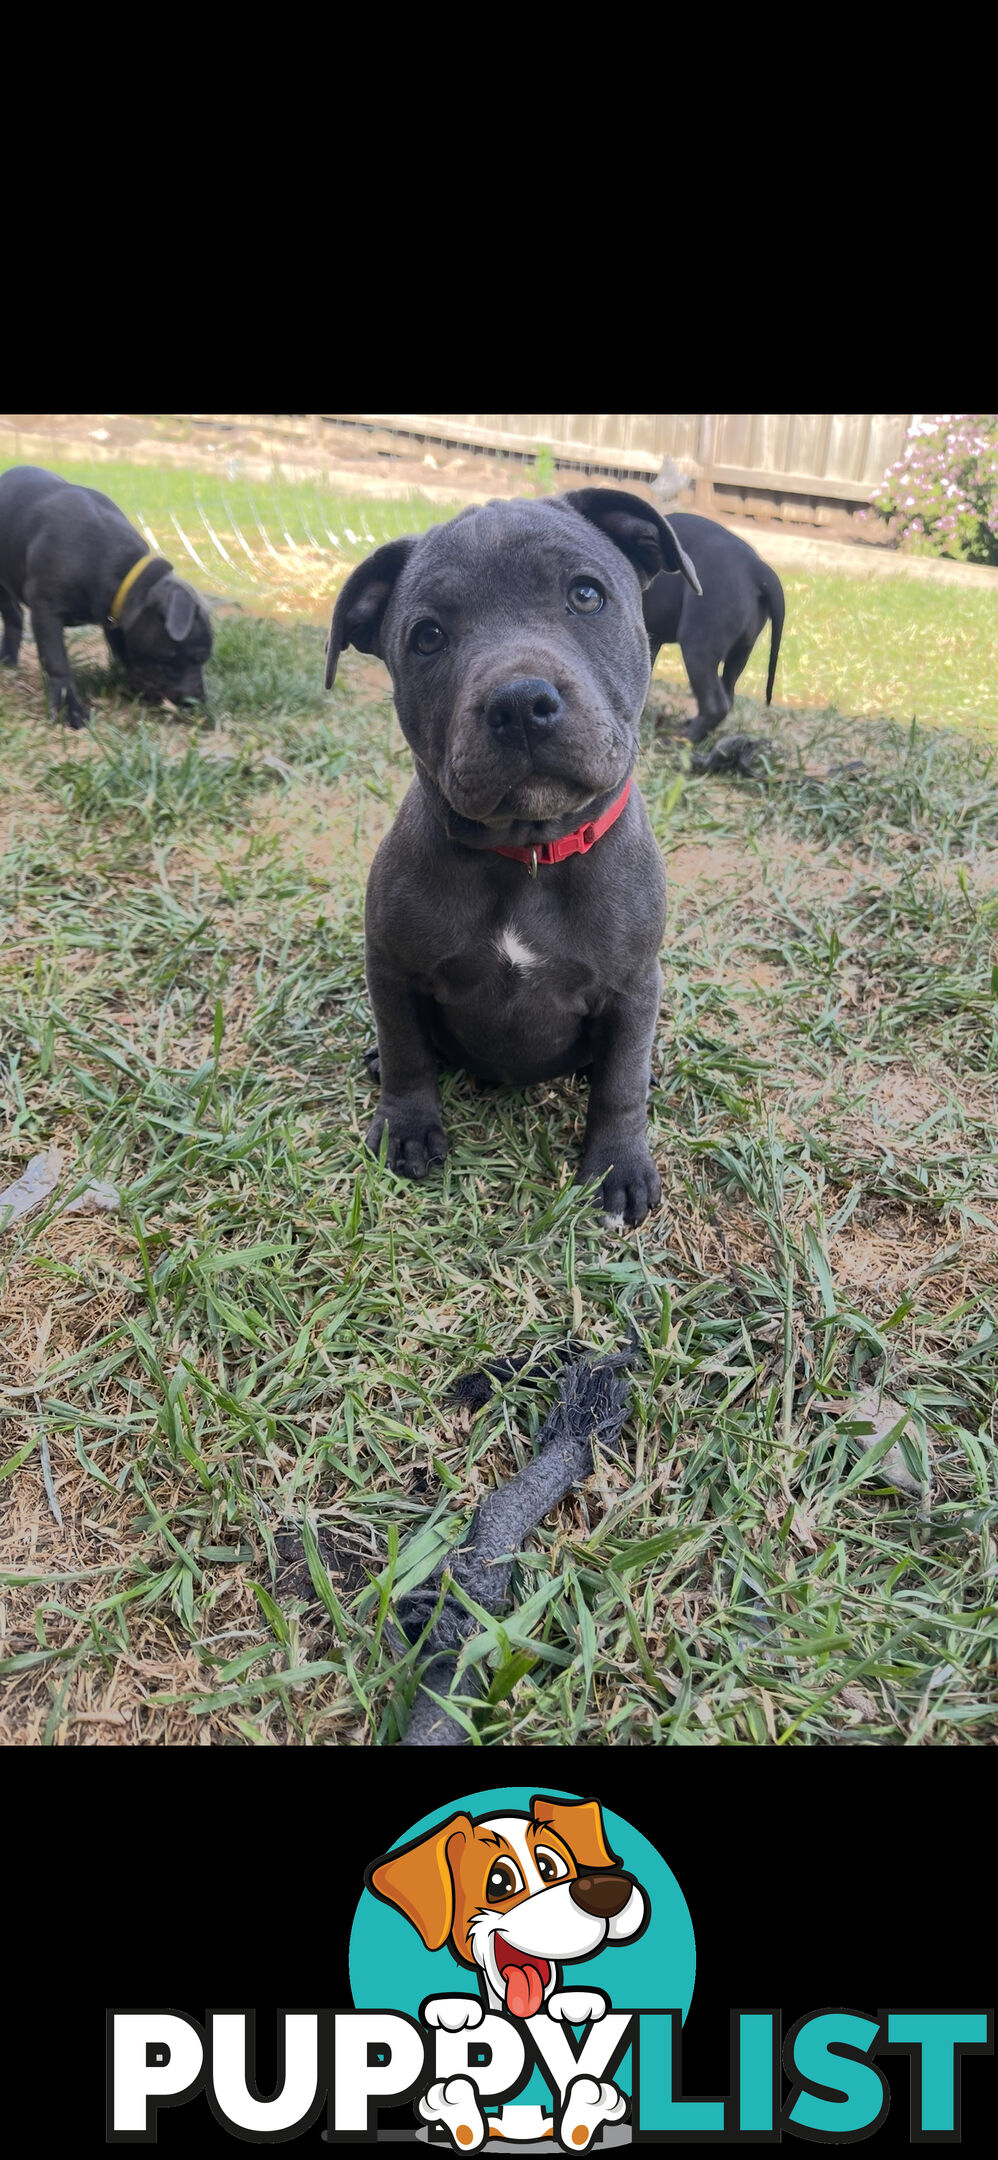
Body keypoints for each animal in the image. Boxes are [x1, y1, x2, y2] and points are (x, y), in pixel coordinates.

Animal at [0, 464, 212, 725]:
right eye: (196, 657)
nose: (198, 701)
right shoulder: (46, 610)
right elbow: (57, 661)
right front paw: (70, 709)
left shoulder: (114, 616)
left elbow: (123, 650)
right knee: (12, 614)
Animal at [328, 494, 699, 1235]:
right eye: (428, 637)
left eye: (586, 595)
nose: (520, 701)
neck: (527, 852)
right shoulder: (392, 963)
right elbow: (408, 1051)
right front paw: (407, 1127)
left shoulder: (633, 984)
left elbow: (617, 1086)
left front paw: (617, 1168)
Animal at [639, 511, 786, 743]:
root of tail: (757, 568)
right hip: (741, 650)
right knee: (727, 694)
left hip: (698, 647)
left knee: (716, 704)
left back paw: (683, 739)